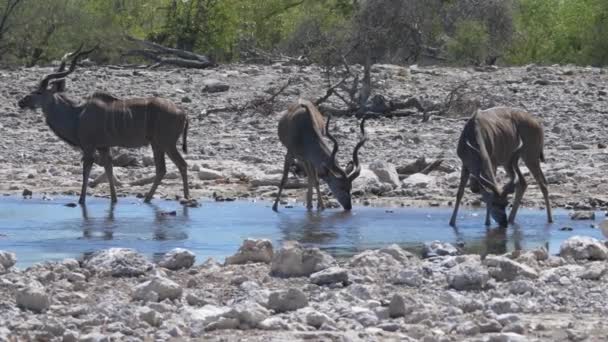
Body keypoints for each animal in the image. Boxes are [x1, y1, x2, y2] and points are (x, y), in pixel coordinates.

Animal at [17, 45, 189, 206]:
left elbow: (86, 170)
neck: (77, 115)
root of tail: (182, 112)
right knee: (162, 169)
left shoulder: (89, 147)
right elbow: (109, 168)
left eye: (39, 92)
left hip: (166, 143)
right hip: (157, 144)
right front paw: (114, 199)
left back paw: (184, 197)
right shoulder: (103, 147)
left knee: (180, 164)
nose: (21, 102)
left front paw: (81, 200)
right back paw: (149, 199)